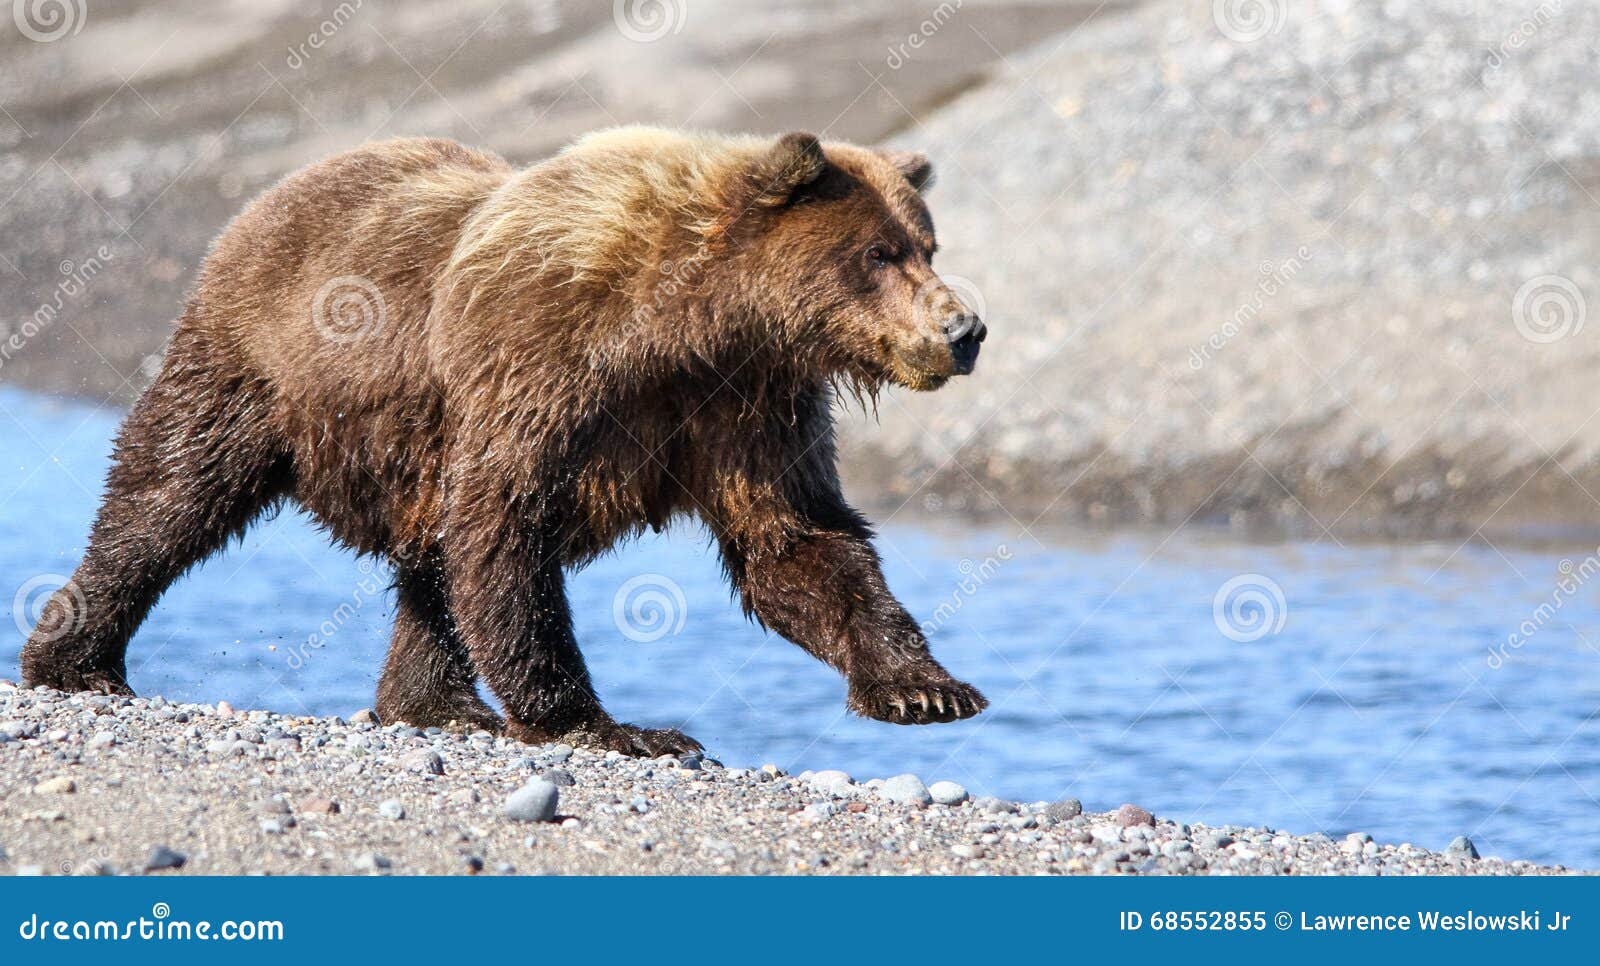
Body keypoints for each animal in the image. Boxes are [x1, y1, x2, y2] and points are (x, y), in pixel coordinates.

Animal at [21, 126, 985, 754]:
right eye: (878, 253)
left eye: (926, 243)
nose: (964, 328)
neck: (695, 327)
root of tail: (272, 193)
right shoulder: (543, 359)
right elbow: (507, 528)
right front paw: (612, 726)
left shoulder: (747, 411)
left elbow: (795, 541)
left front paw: (925, 687)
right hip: (256, 370)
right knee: (168, 495)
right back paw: (75, 658)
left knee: (430, 565)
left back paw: (434, 703)